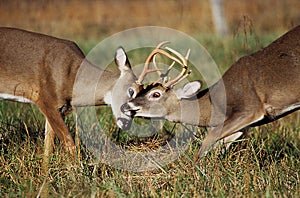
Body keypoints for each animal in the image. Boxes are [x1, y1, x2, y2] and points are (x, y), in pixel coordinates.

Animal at [0, 27, 136, 158]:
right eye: (131, 91)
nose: (127, 124)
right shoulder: (46, 101)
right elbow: (70, 143)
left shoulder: (59, 108)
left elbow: (48, 148)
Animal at [120, 25, 300, 161]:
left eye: (156, 94)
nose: (125, 106)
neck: (217, 106)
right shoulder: (242, 126)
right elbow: (219, 145)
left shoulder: (250, 108)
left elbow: (208, 140)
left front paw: (197, 170)